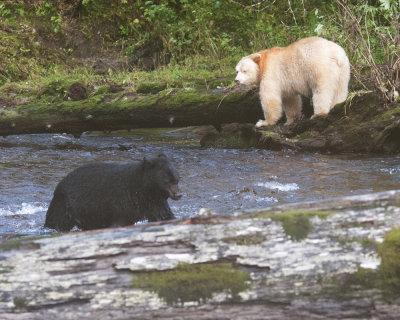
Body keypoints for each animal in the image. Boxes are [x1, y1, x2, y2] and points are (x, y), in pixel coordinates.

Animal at [44, 154, 181, 231]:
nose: (178, 194)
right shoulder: (121, 202)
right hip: (66, 205)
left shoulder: (154, 202)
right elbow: (119, 221)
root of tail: (59, 185)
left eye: (177, 179)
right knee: (57, 221)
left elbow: (164, 215)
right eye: (167, 181)